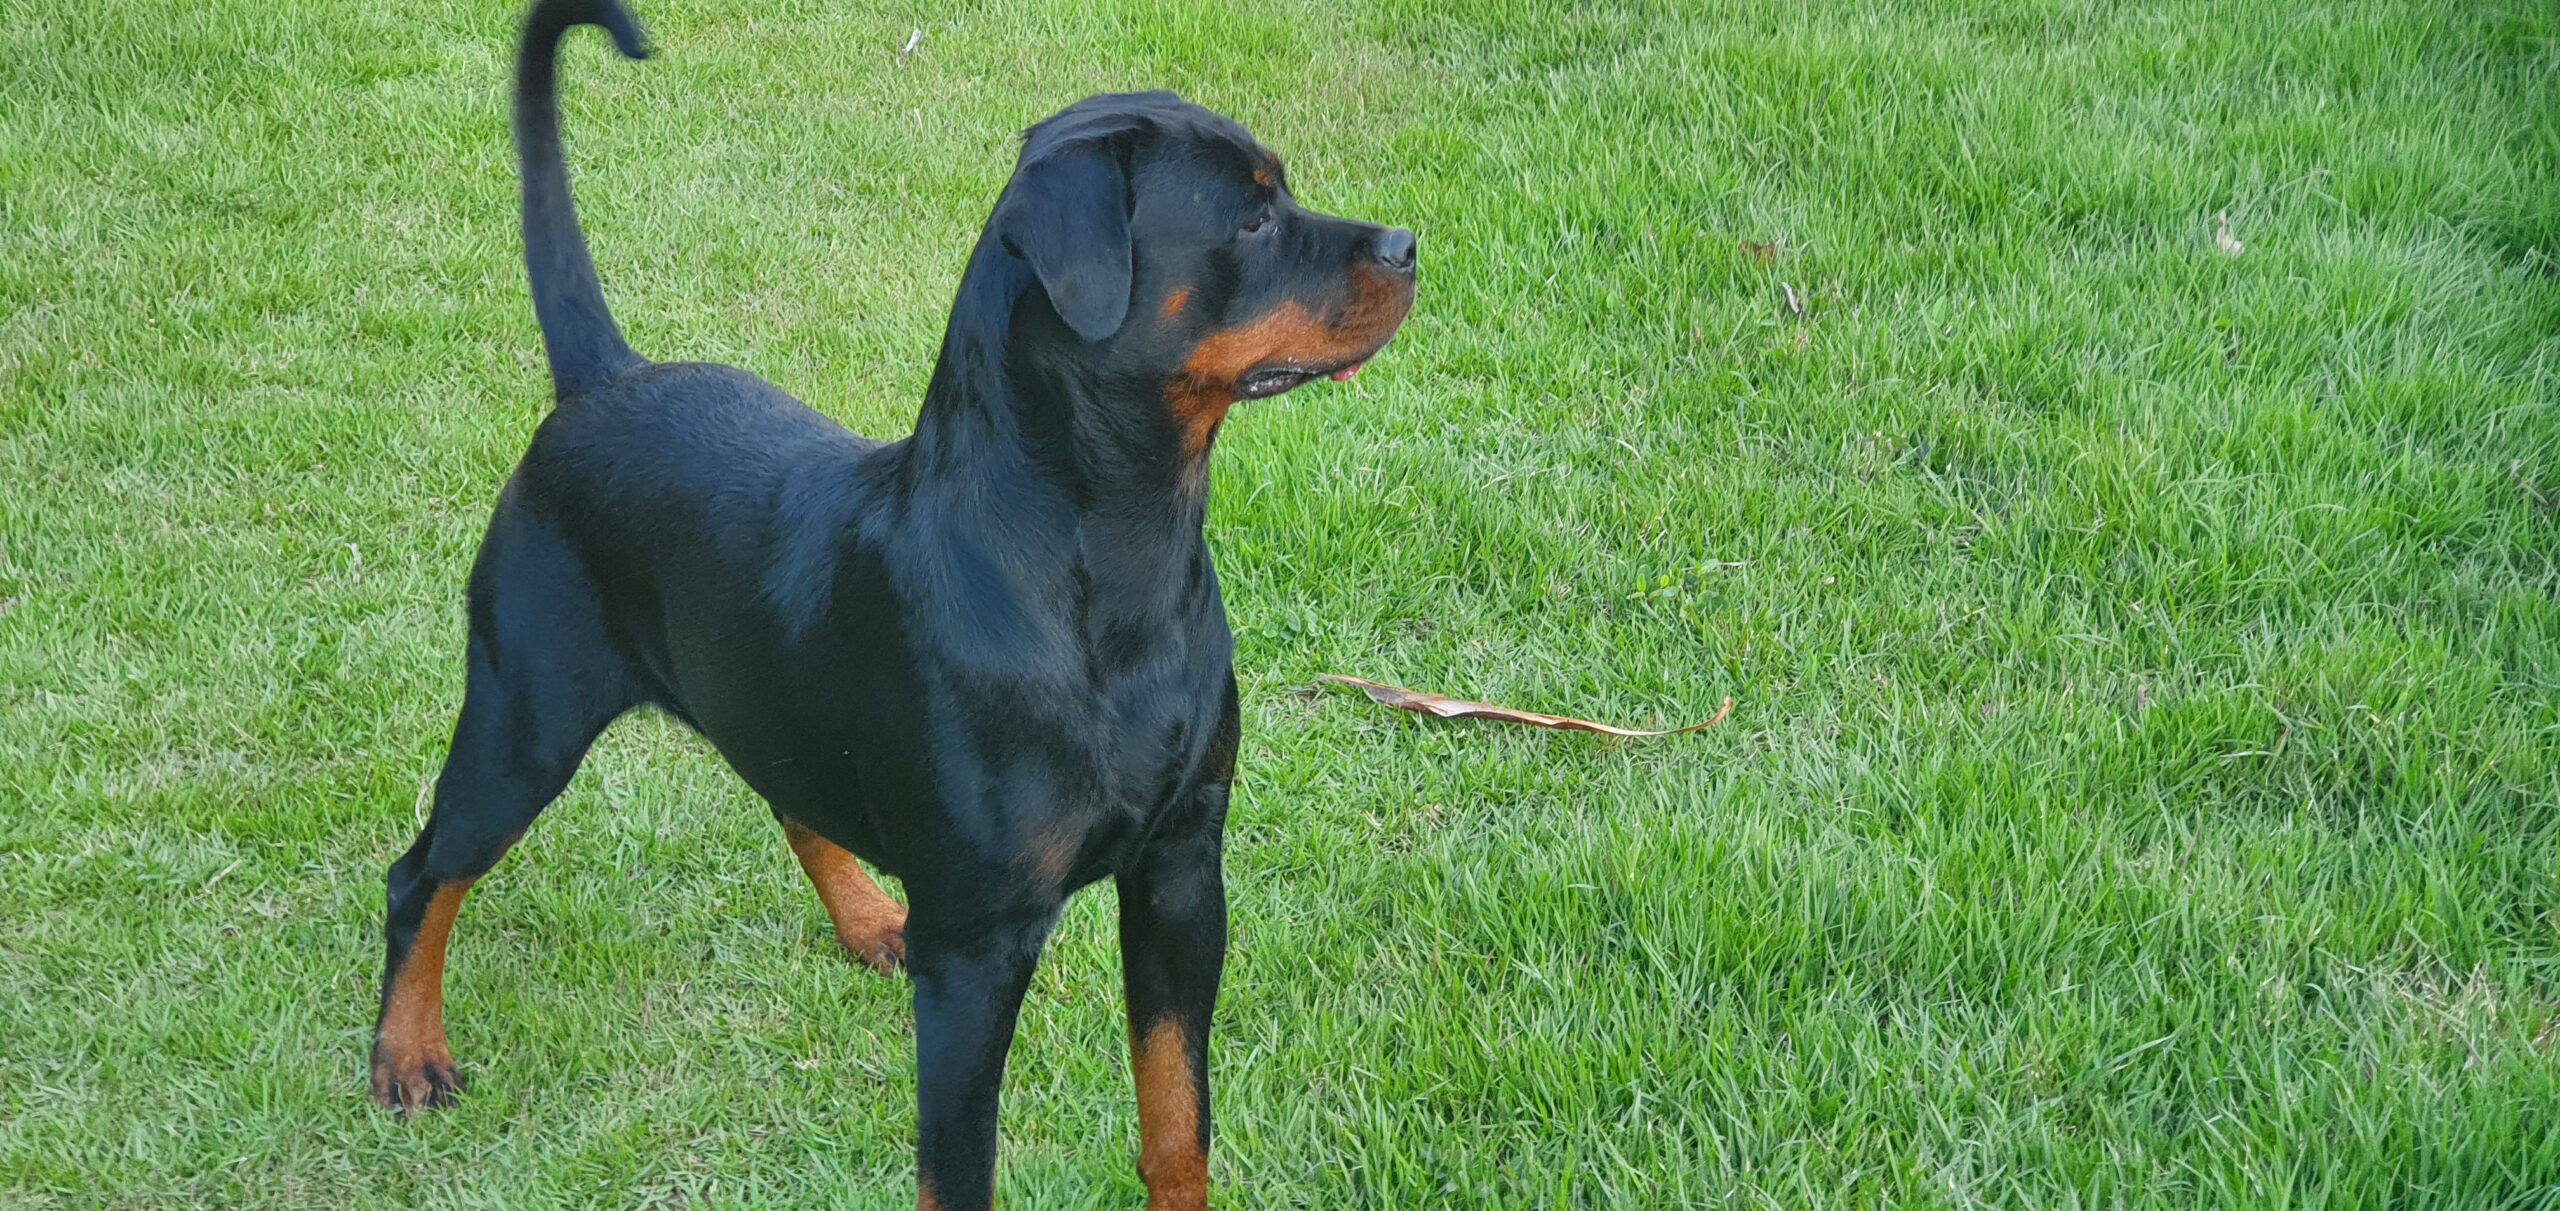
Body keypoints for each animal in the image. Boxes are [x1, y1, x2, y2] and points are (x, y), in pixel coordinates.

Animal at [366, 1, 1415, 1208]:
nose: (1407, 245)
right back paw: (406, 1053)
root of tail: (601, 378)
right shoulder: (977, 947)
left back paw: (869, 914)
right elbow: (957, 1171)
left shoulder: (1183, 871)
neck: (1114, 563)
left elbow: (1176, 1122)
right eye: (1248, 218)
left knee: (785, 790)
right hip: (522, 723)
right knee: (423, 873)